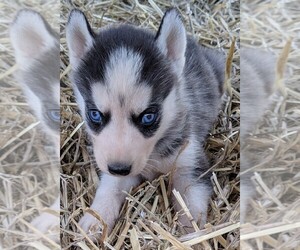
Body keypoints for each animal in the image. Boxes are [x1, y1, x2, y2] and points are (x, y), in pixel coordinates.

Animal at [66, 7, 225, 234]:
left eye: (148, 116)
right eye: (95, 114)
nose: (119, 168)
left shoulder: (190, 163)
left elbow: (190, 200)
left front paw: (191, 230)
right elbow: (109, 188)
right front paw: (95, 220)